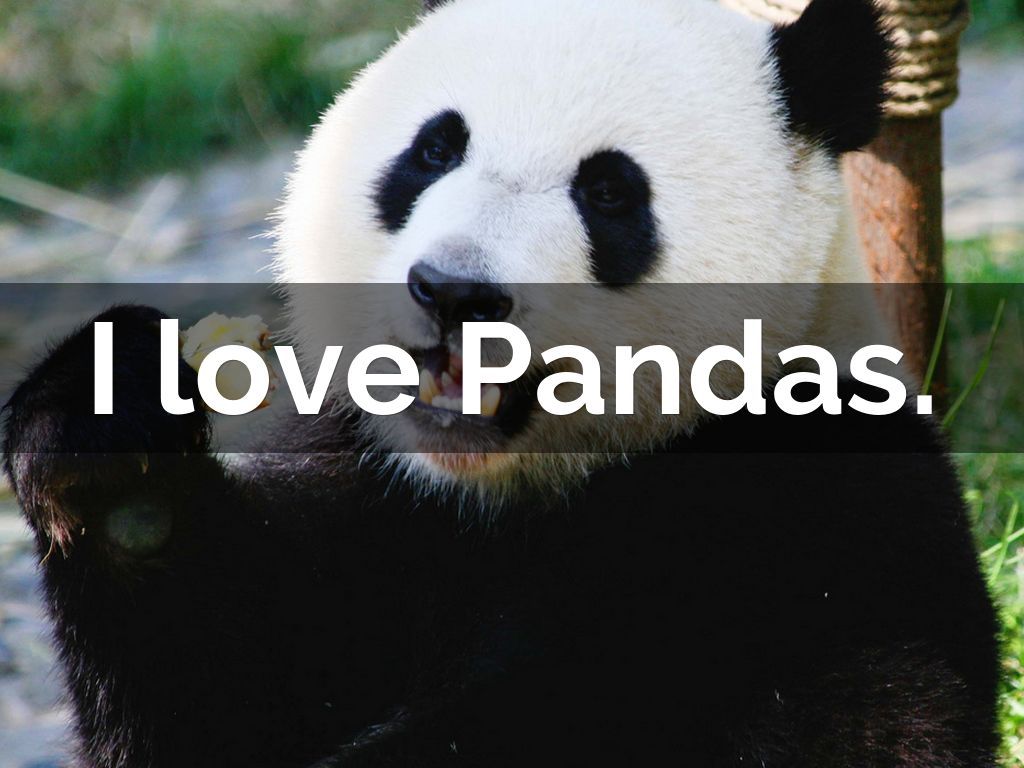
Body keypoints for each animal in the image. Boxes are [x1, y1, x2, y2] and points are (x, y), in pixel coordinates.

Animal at [1, 0, 1001, 766]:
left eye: (609, 194)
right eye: (434, 151)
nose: (454, 292)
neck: (496, 490)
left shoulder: (805, 518)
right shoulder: (367, 493)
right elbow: (219, 696)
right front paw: (114, 446)